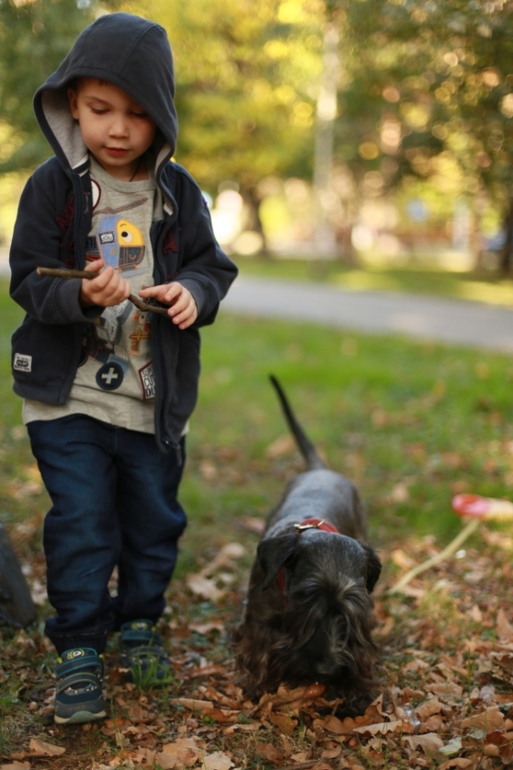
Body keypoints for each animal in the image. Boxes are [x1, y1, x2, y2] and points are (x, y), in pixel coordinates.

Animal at [233, 376, 382, 714]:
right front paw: (257, 685)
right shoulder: (259, 619)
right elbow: (257, 649)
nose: (327, 670)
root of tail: (319, 469)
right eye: (305, 599)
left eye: (353, 612)